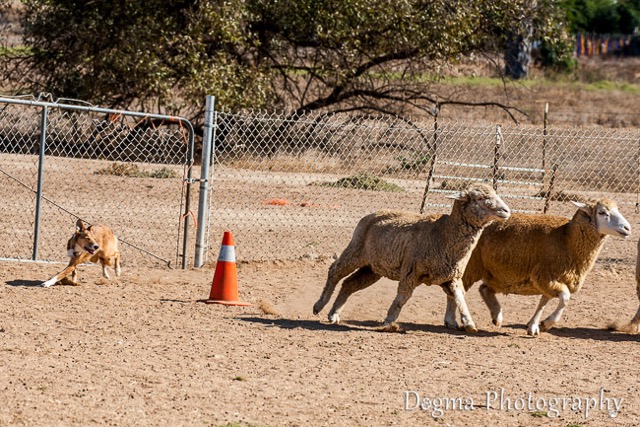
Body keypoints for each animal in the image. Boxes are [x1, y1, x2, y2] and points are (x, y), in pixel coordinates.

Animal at [312, 183, 511, 333]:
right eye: (479, 198)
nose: (506, 211)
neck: (443, 234)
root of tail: (372, 214)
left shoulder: (452, 276)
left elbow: (459, 297)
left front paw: (468, 323)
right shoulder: (410, 271)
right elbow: (402, 298)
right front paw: (388, 322)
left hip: (372, 268)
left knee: (349, 284)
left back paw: (334, 314)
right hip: (355, 251)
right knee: (335, 271)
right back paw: (319, 305)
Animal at [444, 199, 631, 336]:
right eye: (602, 212)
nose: (627, 228)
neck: (567, 238)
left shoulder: (551, 279)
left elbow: (544, 301)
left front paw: (533, 326)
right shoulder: (545, 276)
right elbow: (565, 297)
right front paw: (547, 323)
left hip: (494, 272)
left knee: (483, 289)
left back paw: (496, 315)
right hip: (470, 265)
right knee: (456, 289)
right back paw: (453, 320)